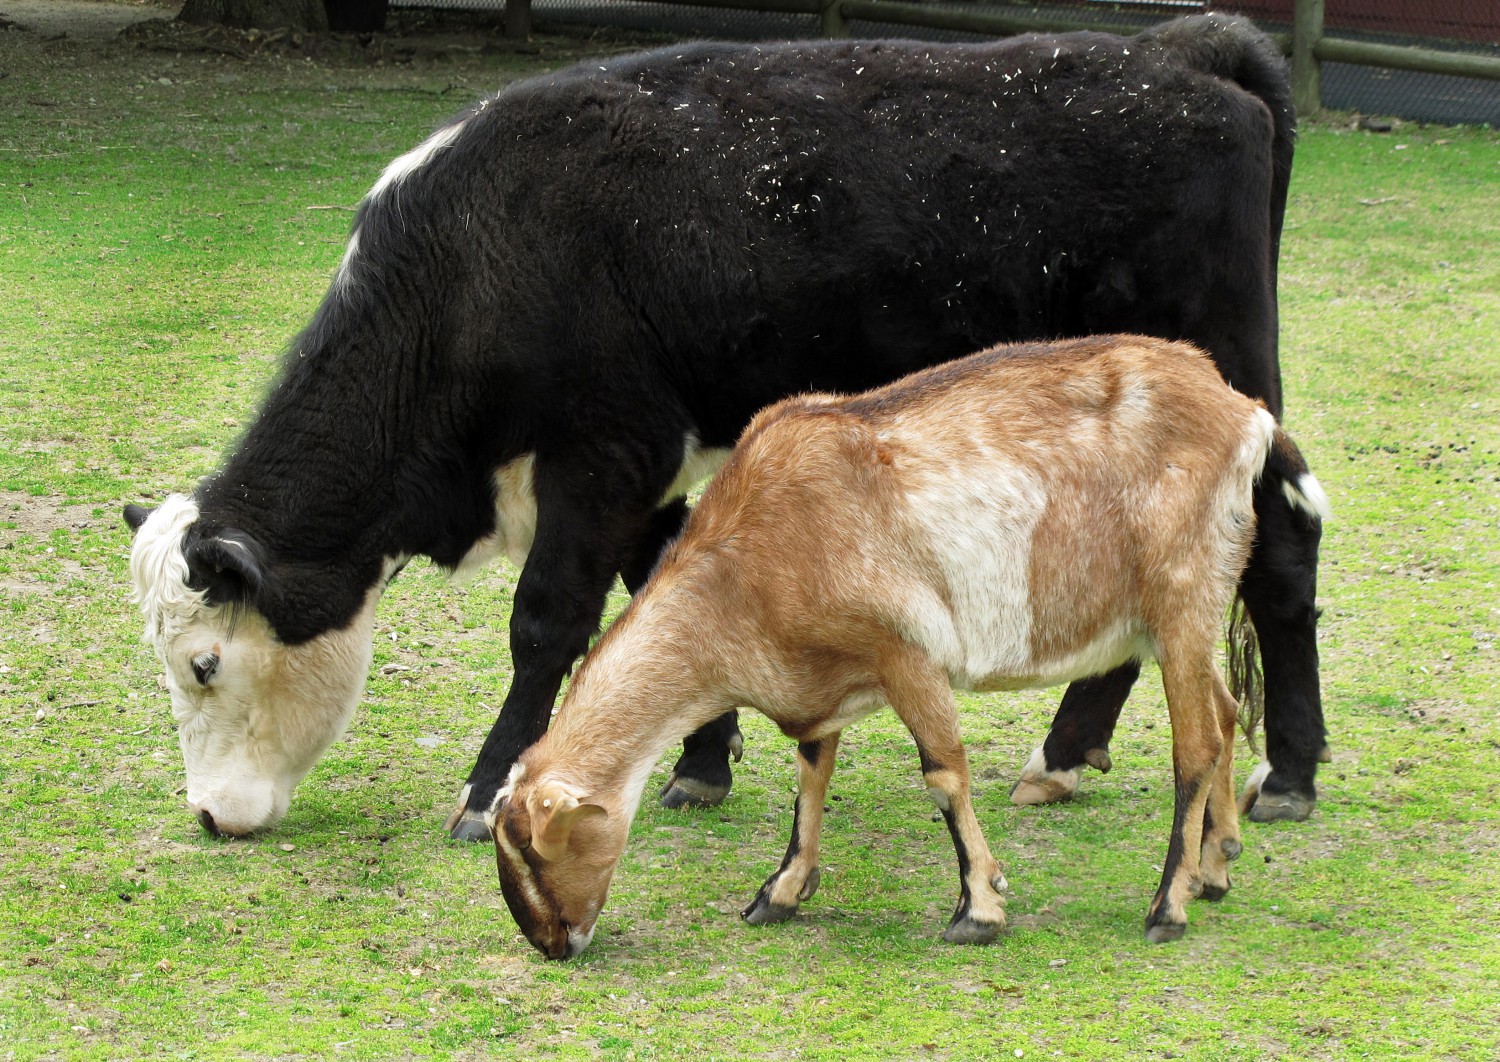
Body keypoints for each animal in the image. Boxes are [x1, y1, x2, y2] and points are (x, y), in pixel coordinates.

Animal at [126, 12, 1326, 840]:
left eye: (202, 663)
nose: (210, 815)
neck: (478, 254)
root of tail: (1180, 50)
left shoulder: (600, 455)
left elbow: (547, 622)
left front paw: (488, 783)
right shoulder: (645, 469)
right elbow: (659, 589)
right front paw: (700, 762)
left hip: (1226, 388)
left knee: (1283, 546)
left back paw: (1292, 772)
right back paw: (1070, 752)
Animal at [486, 336, 1332, 960]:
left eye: (531, 851)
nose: (555, 943)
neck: (739, 570)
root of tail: (1246, 413)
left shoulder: (905, 652)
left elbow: (943, 772)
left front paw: (978, 910)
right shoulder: (822, 680)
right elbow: (810, 776)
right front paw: (779, 892)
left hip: (1181, 594)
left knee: (1196, 744)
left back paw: (1167, 904)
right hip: (1184, 613)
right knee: (1225, 711)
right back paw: (1214, 869)